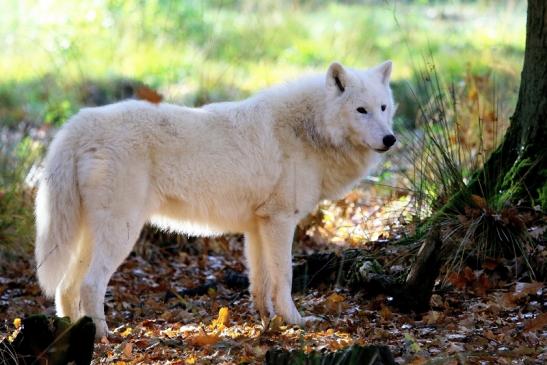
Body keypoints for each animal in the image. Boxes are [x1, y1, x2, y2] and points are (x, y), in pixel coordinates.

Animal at [34, 61, 396, 336]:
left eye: (383, 107)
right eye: (361, 110)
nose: (390, 139)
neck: (308, 129)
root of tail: (77, 124)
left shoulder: (258, 227)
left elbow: (260, 282)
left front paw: (268, 322)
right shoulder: (280, 221)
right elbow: (285, 278)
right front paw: (294, 321)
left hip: (89, 236)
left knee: (66, 288)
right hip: (122, 233)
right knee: (90, 285)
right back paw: (103, 336)